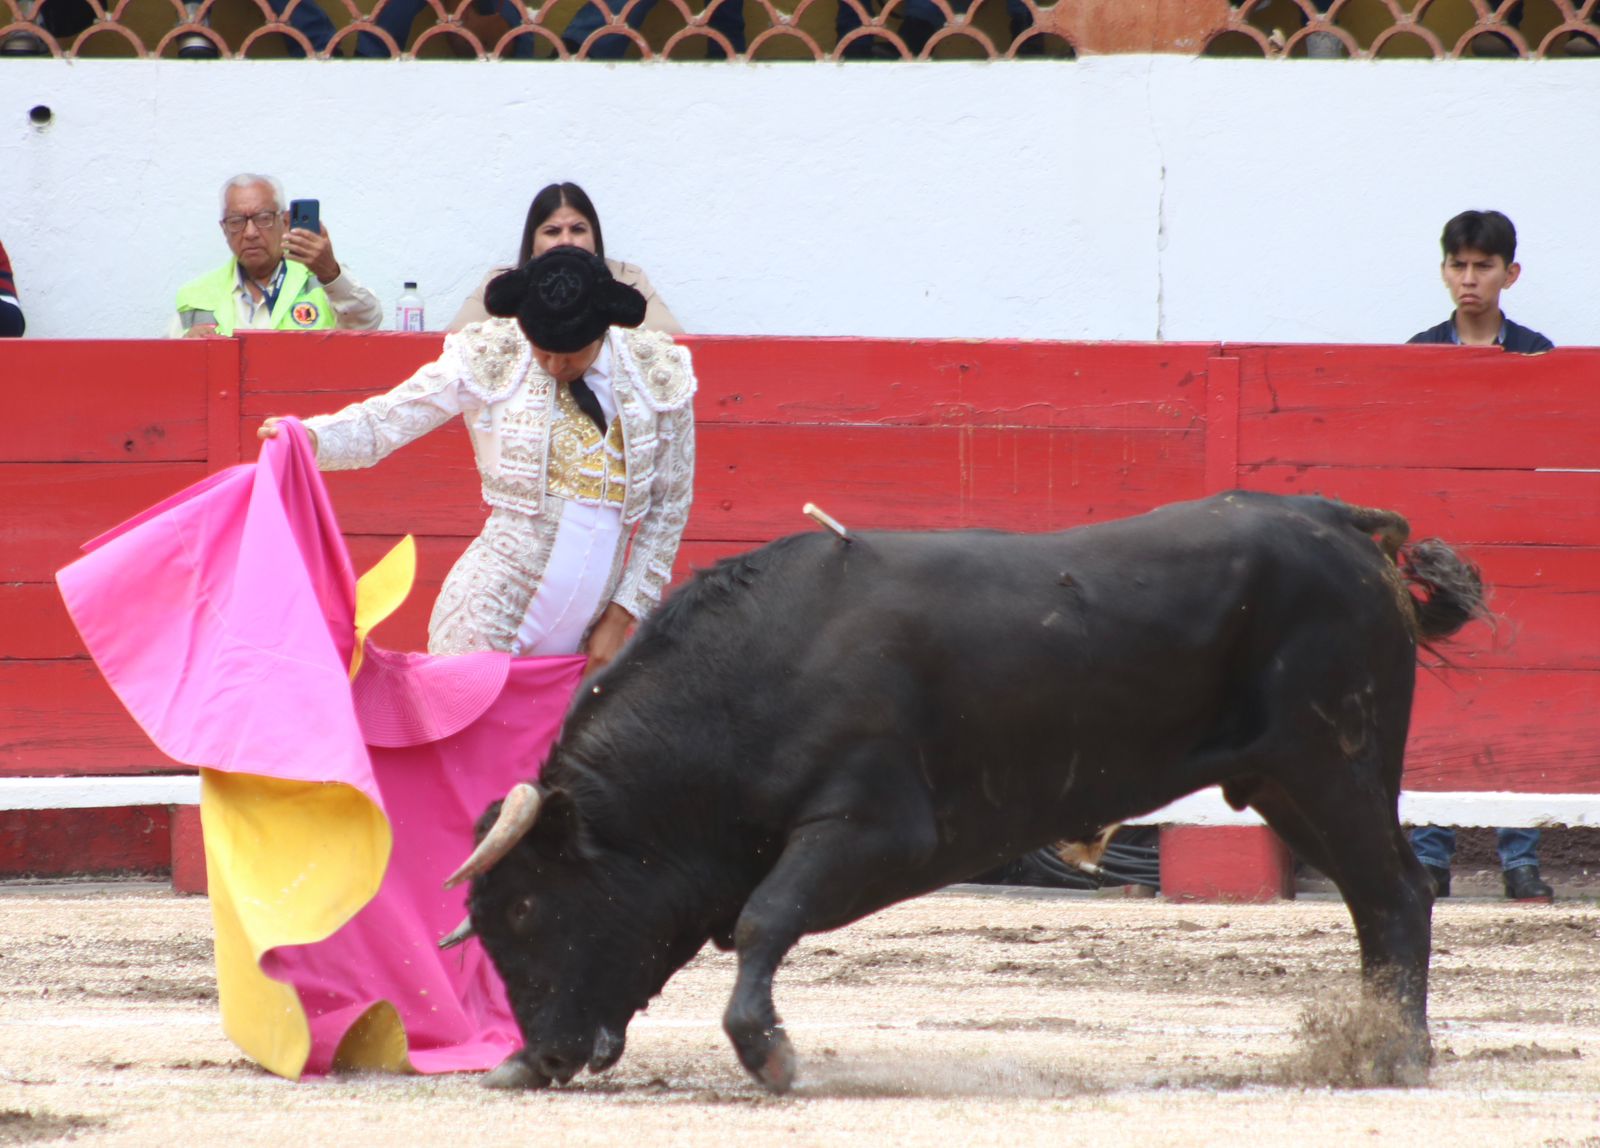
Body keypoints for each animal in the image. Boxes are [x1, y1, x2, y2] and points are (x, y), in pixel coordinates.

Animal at [441, 492, 1484, 1100]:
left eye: (528, 909)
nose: (535, 1058)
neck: (751, 681)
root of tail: (1339, 526)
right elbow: (752, 919)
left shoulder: (873, 829)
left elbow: (765, 916)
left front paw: (770, 1055)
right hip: (1281, 779)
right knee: (1376, 899)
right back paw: (1379, 1045)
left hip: (1332, 760)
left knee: (1395, 893)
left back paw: (1393, 1054)